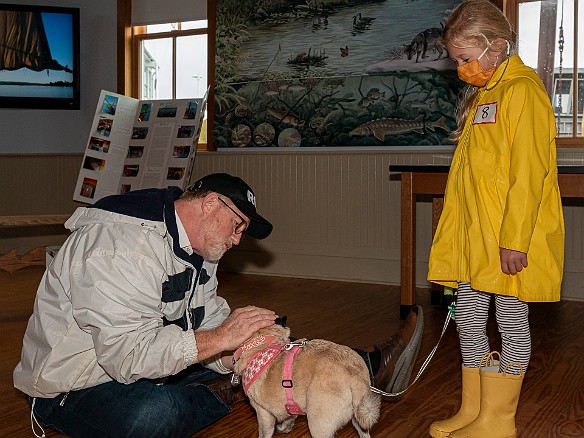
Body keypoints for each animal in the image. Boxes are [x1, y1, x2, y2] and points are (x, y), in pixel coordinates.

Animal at [233, 322, 384, 438]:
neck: (263, 344)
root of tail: (355, 374)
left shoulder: (262, 412)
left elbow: (264, 433)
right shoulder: (291, 404)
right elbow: (290, 416)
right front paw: (285, 427)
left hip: (318, 424)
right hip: (359, 420)